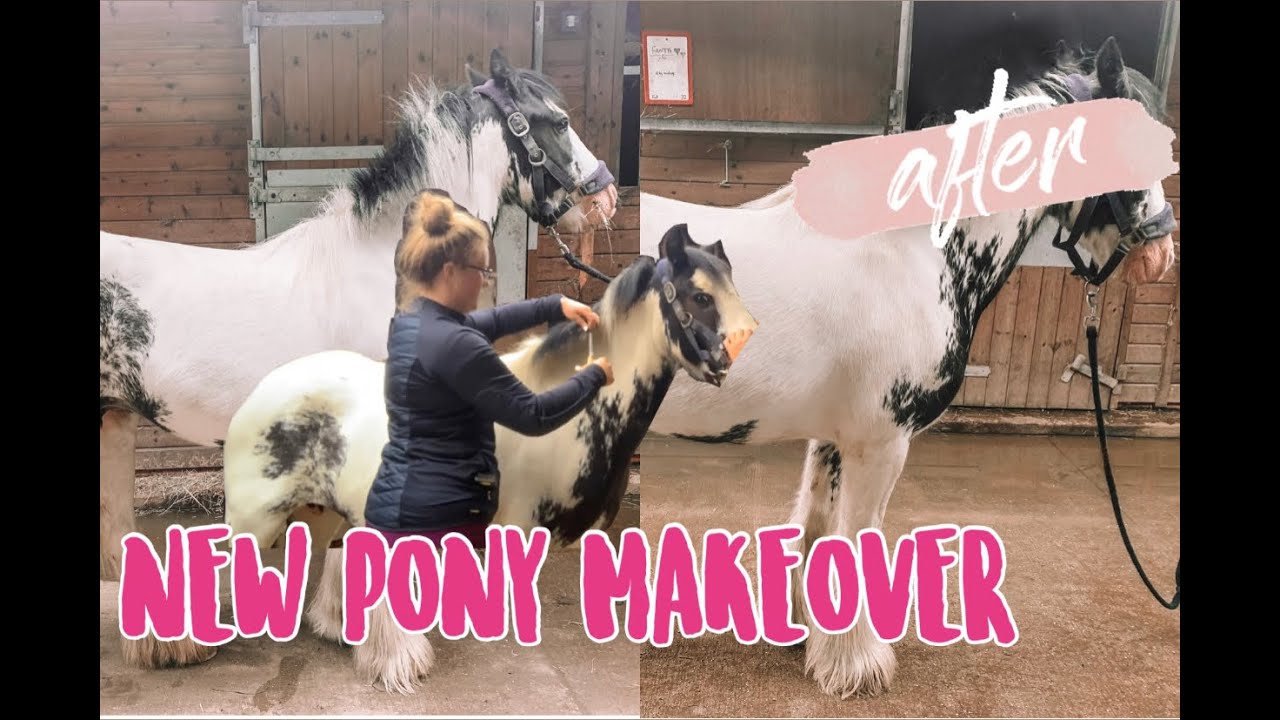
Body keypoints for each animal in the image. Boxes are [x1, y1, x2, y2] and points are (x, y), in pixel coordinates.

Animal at [216, 223, 757, 692]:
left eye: (732, 288)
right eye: (700, 296)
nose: (729, 359)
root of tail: (261, 391)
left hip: (330, 513)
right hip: (255, 520)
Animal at [637, 36, 1178, 699]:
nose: (1161, 252)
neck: (918, 250)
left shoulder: (834, 435)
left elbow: (818, 524)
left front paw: (807, 630)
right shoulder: (882, 441)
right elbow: (856, 541)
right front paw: (856, 666)